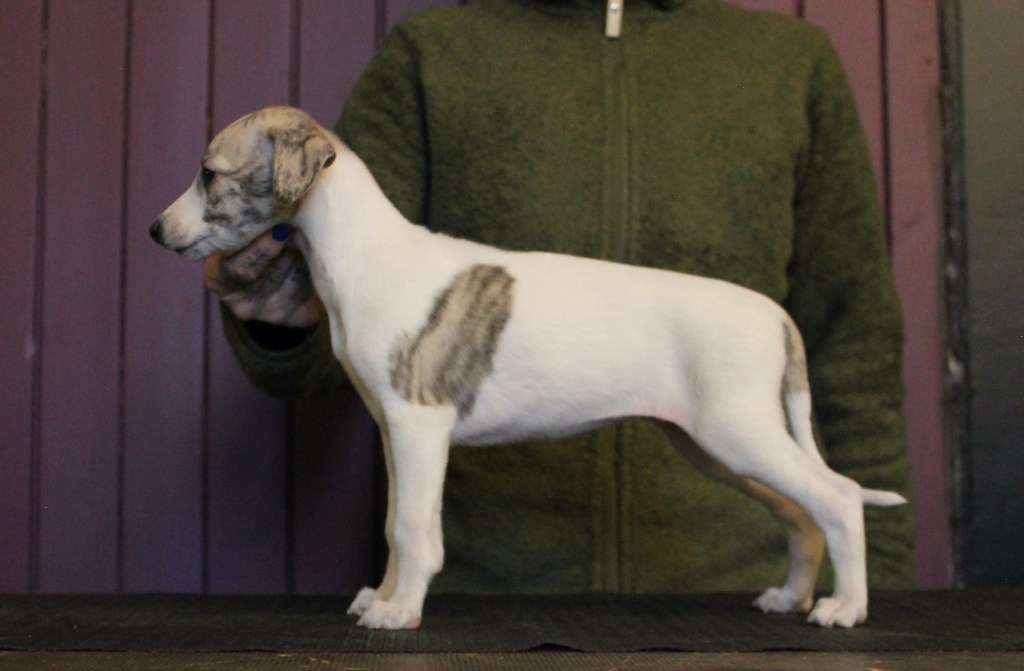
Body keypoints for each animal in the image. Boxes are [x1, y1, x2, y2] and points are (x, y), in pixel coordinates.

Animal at [151, 106, 906, 630]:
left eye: (209, 172)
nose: (156, 231)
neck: (365, 253)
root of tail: (775, 314)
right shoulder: (396, 432)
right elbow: (397, 523)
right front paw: (383, 596)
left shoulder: (420, 425)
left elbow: (413, 528)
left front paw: (400, 612)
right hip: (714, 445)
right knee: (802, 512)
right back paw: (789, 596)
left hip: (737, 431)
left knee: (837, 496)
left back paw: (845, 608)